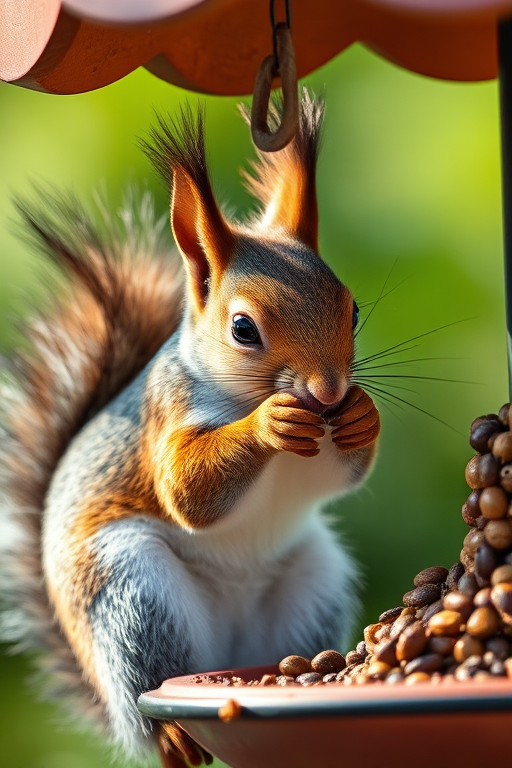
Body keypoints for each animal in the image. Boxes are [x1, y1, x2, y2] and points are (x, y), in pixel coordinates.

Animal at [0, 91, 380, 767]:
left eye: (353, 310)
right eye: (243, 329)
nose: (330, 390)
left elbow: (338, 476)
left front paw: (362, 414)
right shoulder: (165, 414)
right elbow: (186, 489)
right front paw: (268, 423)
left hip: (313, 584)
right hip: (131, 590)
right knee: (149, 684)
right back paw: (171, 732)